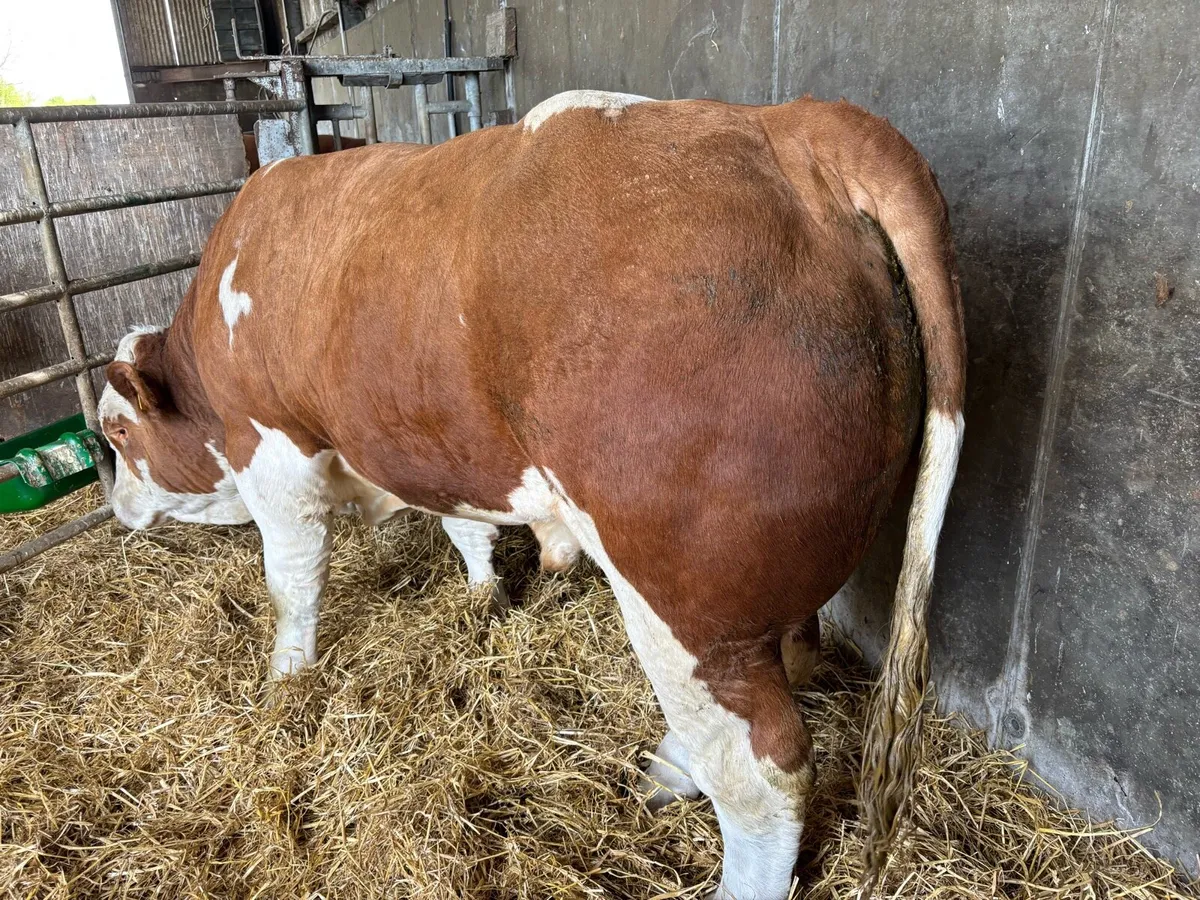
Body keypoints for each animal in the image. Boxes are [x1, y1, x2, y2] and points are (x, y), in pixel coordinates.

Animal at [98, 91, 965, 899]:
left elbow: (291, 581)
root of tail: (789, 123)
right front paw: (483, 593)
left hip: (684, 598)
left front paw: (286, 675)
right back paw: (669, 770)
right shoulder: (429, 442)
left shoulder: (274, 452)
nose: (115, 513)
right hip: (758, 593)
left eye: (116, 433)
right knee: (785, 666)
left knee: (762, 774)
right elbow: (465, 530)